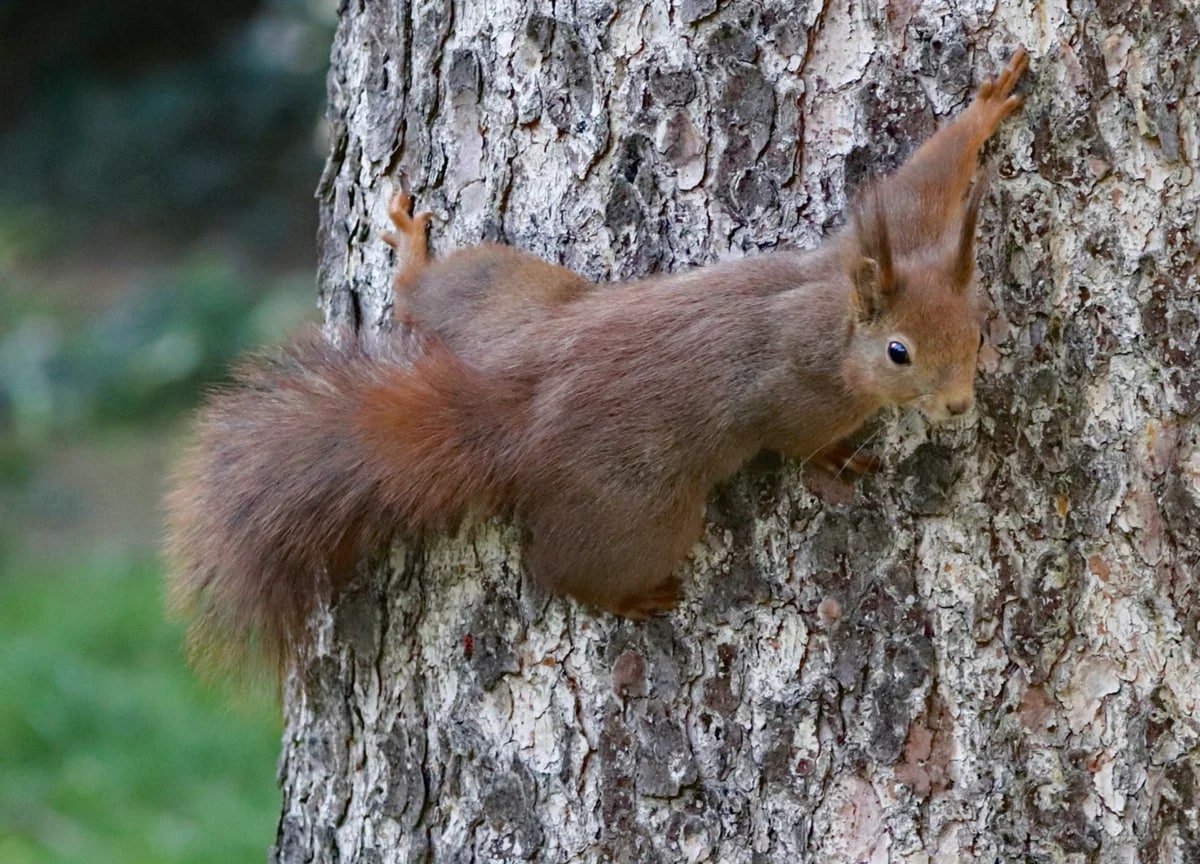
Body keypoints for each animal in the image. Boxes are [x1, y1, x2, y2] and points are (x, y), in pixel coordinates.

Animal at [164, 47, 1032, 672]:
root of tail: (519, 410)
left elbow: (924, 182)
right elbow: (798, 441)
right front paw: (841, 460)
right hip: (640, 510)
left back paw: (410, 254)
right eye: (898, 353)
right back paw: (627, 599)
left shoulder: (889, 236)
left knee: (423, 296)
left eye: (979, 327)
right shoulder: (799, 390)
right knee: (559, 568)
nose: (958, 404)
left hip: (503, 301)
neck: (831, 315)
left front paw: (987, 106)